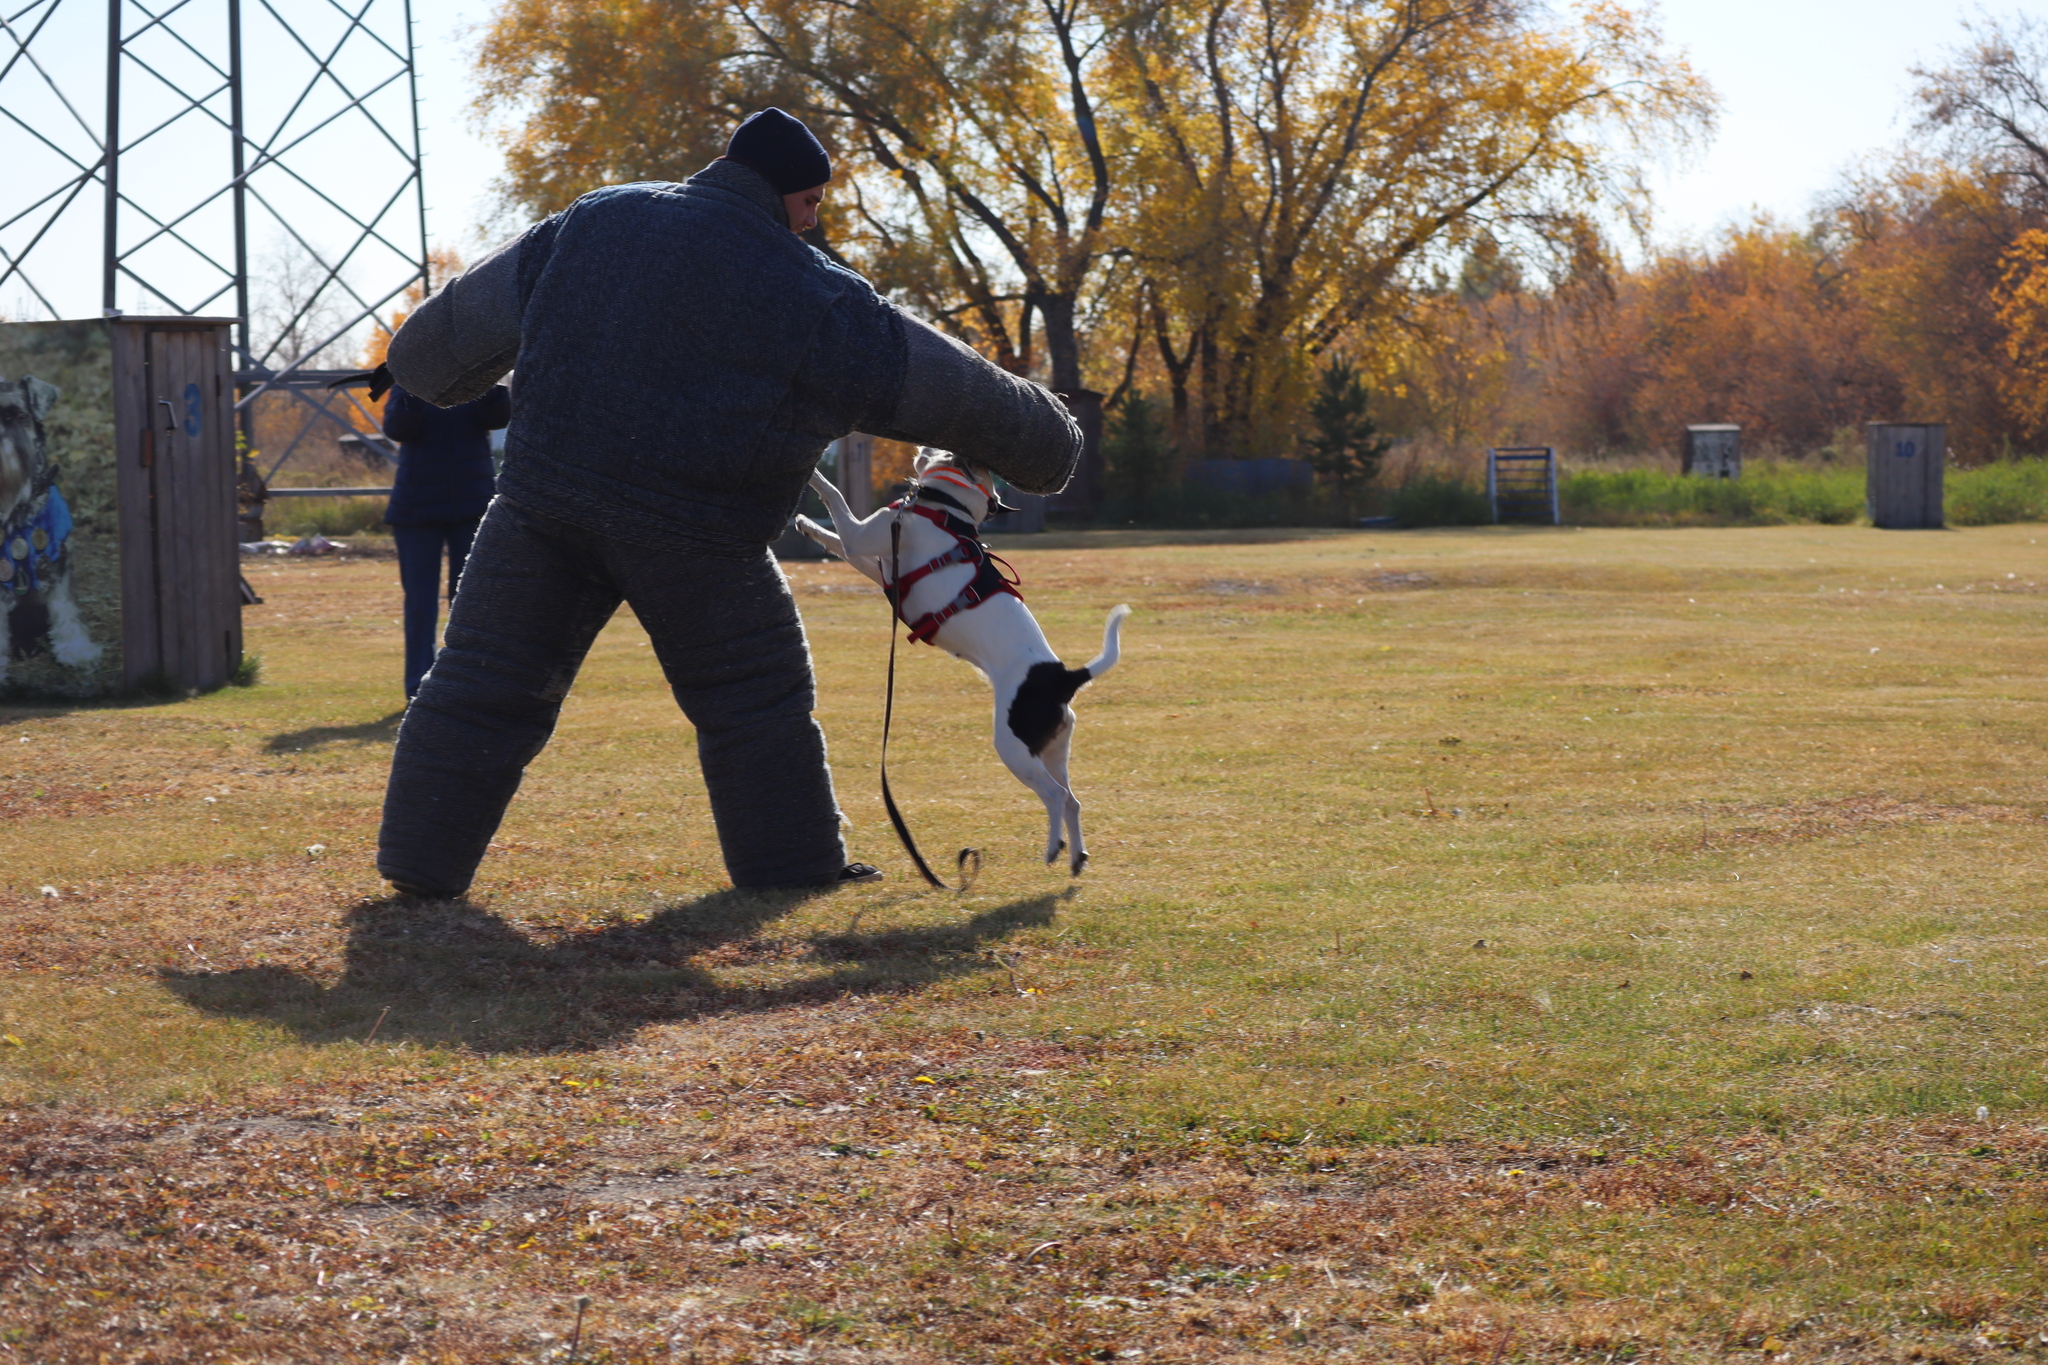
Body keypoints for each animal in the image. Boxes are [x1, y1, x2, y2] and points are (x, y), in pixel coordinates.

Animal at [794, 450, 1130, 875]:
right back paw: (1075, 856)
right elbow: (836, 542)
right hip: (1052, 751)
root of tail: (1063, 678)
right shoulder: (878, 565)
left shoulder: (863, 537)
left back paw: (1054, 847)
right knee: (1073, 799)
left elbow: (836, 499)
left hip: (1014, 749)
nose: (921, 449)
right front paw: (808, 527)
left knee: (1056, 796)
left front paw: (814, 476)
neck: (949, 508)